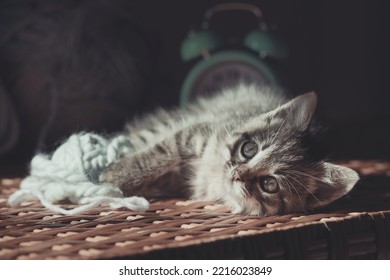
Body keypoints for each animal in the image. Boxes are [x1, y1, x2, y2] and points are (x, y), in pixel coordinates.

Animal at [100, 84, 360, 215]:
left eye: (270, 184)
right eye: (249, 149)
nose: (236, 174)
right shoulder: (192, 132)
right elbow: (160, 153)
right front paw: (117, 174)